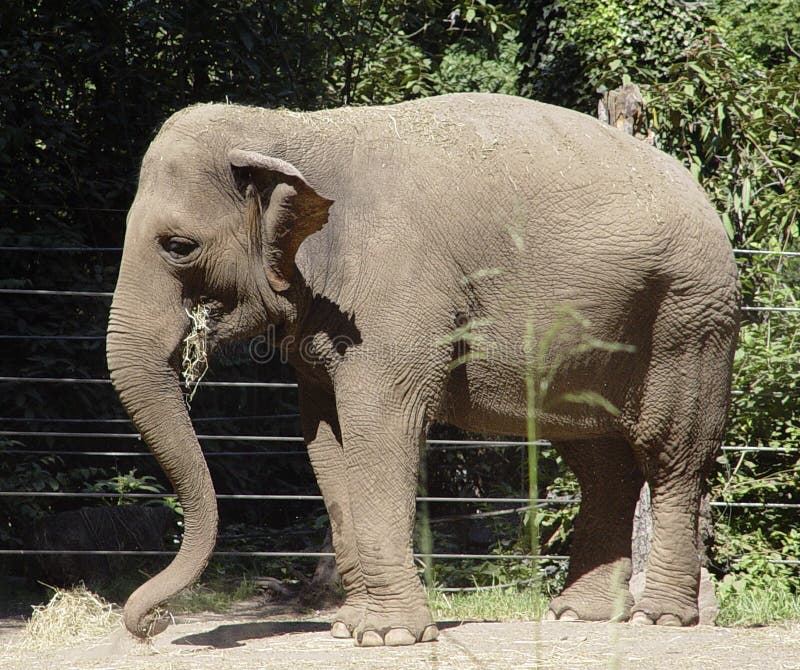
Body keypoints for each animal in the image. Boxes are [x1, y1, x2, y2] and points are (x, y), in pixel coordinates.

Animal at [104, 93, 736, 644]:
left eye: (179, 246)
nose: (152, 623)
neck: (290, 129)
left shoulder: (394, 291)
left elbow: (382, 424)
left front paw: (386, 636)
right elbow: (325, 439)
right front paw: (348, 627)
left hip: (690, 319)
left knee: (671, 455)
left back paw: (659, 618)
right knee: (600, 461)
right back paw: (578, 615)